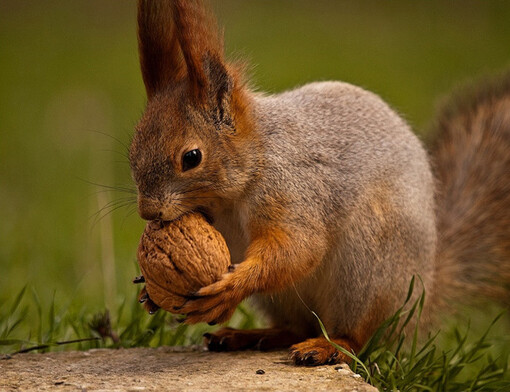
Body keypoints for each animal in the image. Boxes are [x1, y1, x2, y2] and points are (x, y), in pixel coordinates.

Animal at [130, 0, 510, 368]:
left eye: (192, 157)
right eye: (133, 150)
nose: (148, 211)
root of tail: (424, 298)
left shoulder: (294, 190)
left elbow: (298, 248)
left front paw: (231, 288)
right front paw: (150, 292)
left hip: (369, 269)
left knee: (359, 338)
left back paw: (329, 347)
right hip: (284, 300)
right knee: (296, 327)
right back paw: (248, 336)